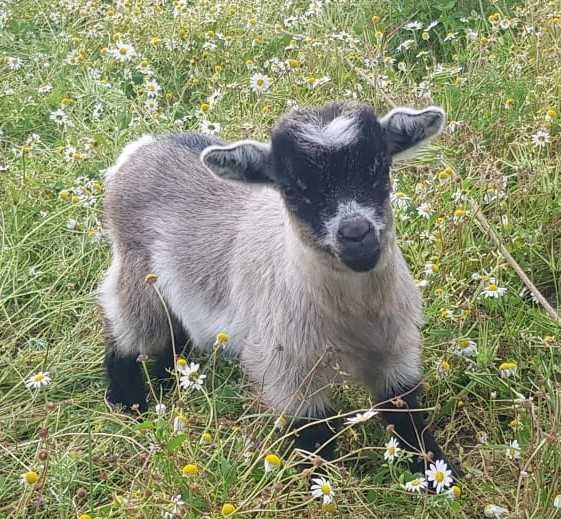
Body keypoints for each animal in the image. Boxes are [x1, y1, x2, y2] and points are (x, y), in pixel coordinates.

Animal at [97, 101, 456, 476]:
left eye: (380, 168)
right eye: (293, 189)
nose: (357, 234)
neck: (353, 315)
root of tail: (144, 147)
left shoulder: (396, 349)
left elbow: (406, 413)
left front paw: (436, 472)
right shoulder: (287, 368)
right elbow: (314, 435)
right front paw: (323, 480)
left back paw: (165, 383)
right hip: (138, 277)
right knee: (128, 336)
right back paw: (130, 403)